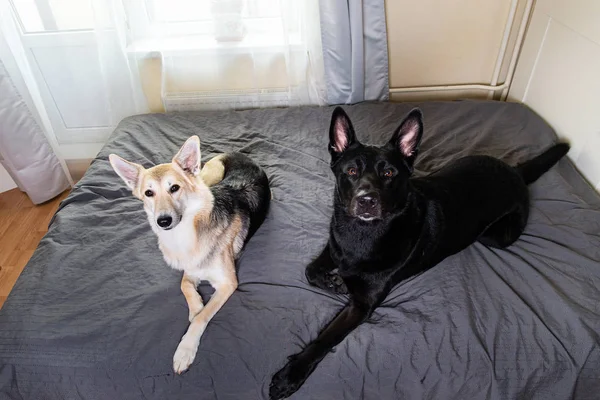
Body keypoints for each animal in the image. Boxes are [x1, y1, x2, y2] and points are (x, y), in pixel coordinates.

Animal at [109, 136, 270, 374]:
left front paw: (185, 349)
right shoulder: (190, 270)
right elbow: (184, 286)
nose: (163, 221)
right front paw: (196, 307)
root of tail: (241, 154)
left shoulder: (228, 284)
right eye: (149, 193)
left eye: (174, 188)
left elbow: (201, 318)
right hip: (208, 177)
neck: (185, 234)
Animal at [270, 105, 568, 396]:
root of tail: (516, 171)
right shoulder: (333, 247)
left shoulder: (362, 305)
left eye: (389, 173)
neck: (361, 233)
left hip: (496, 235)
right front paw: (332, 281)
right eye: (352, 172)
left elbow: (326, 337)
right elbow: (311, 269)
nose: (367, 201)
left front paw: (292, 373)